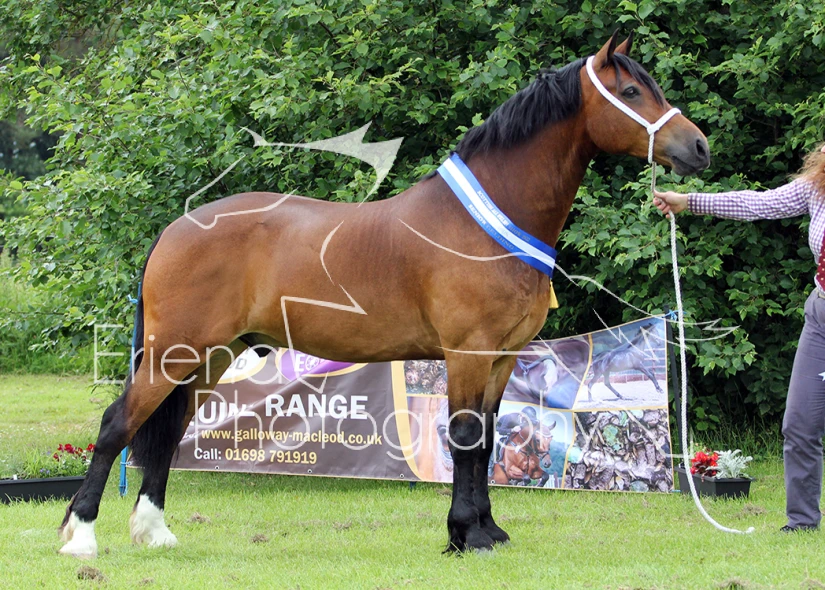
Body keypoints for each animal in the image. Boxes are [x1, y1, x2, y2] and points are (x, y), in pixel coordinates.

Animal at [58, 31, 709, 558]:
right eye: (631, 90)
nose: (698, 147)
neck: (481, 222)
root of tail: (176, 228)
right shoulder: (467, 353)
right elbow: (465, 439)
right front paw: (465, 535)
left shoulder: (501, 357)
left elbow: (488, 440)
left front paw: (487, 531)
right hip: (176, 352)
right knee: (119, 424)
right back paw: (81, 537)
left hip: (211, 356)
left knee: (165, 434)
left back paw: (154, 532)